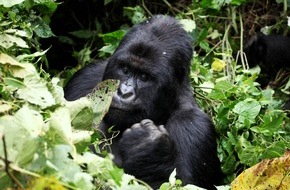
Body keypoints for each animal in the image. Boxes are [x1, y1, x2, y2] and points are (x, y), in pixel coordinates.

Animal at [64, 15, 223, 189]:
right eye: (125, 70)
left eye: (144, 77)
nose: (124, 92)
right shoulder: (84, 80)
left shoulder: (195, 126)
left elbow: (186, 183)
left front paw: (147, 147)